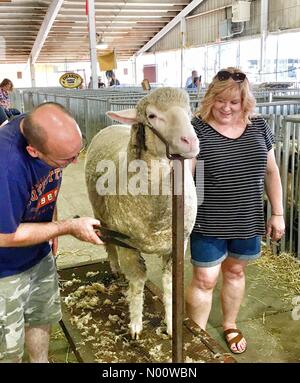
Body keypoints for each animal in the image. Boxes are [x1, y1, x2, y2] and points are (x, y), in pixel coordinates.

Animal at [85, 87, 199, 340]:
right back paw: (115, 268)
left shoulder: (177, 246)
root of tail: (112, 126)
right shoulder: (127, 245)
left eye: (189, 112)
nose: (190, 141)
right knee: (108, 245)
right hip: (102, 215)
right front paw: (136, 325)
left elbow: (170, 285)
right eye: (152, 115)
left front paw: (171, 325)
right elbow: (137, 283)